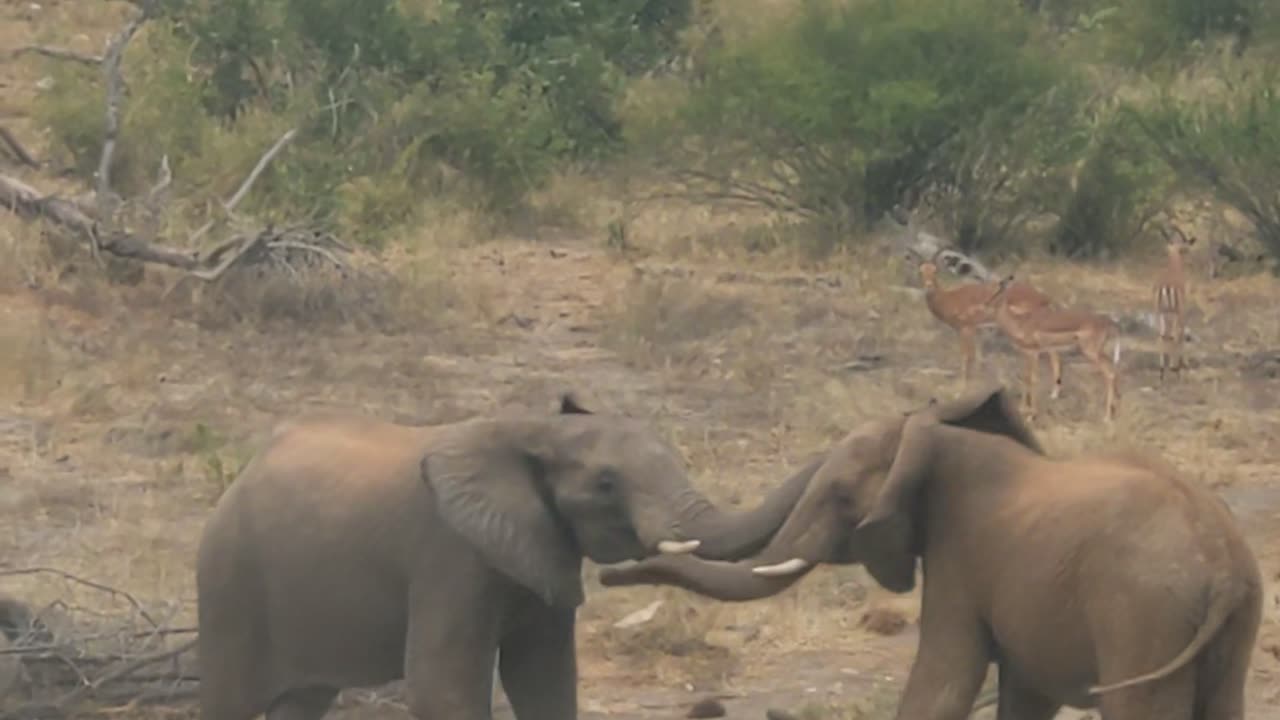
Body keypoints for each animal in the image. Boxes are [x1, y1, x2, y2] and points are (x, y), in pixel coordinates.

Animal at [199, 392, 819, 717]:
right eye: (606, 484)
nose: (619, 576)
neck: (536, 430)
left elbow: (546, 679)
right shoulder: (449, 555)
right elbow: (442, 685)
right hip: (229, 584)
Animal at [596, 384, 1259, 717]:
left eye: (841, 495)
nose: (610, 574)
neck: (936, 435)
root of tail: (1224, 566)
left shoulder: (958, 556)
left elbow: (944, 679)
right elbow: (1023, 695)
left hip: (1142, 615)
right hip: (1231, 623)